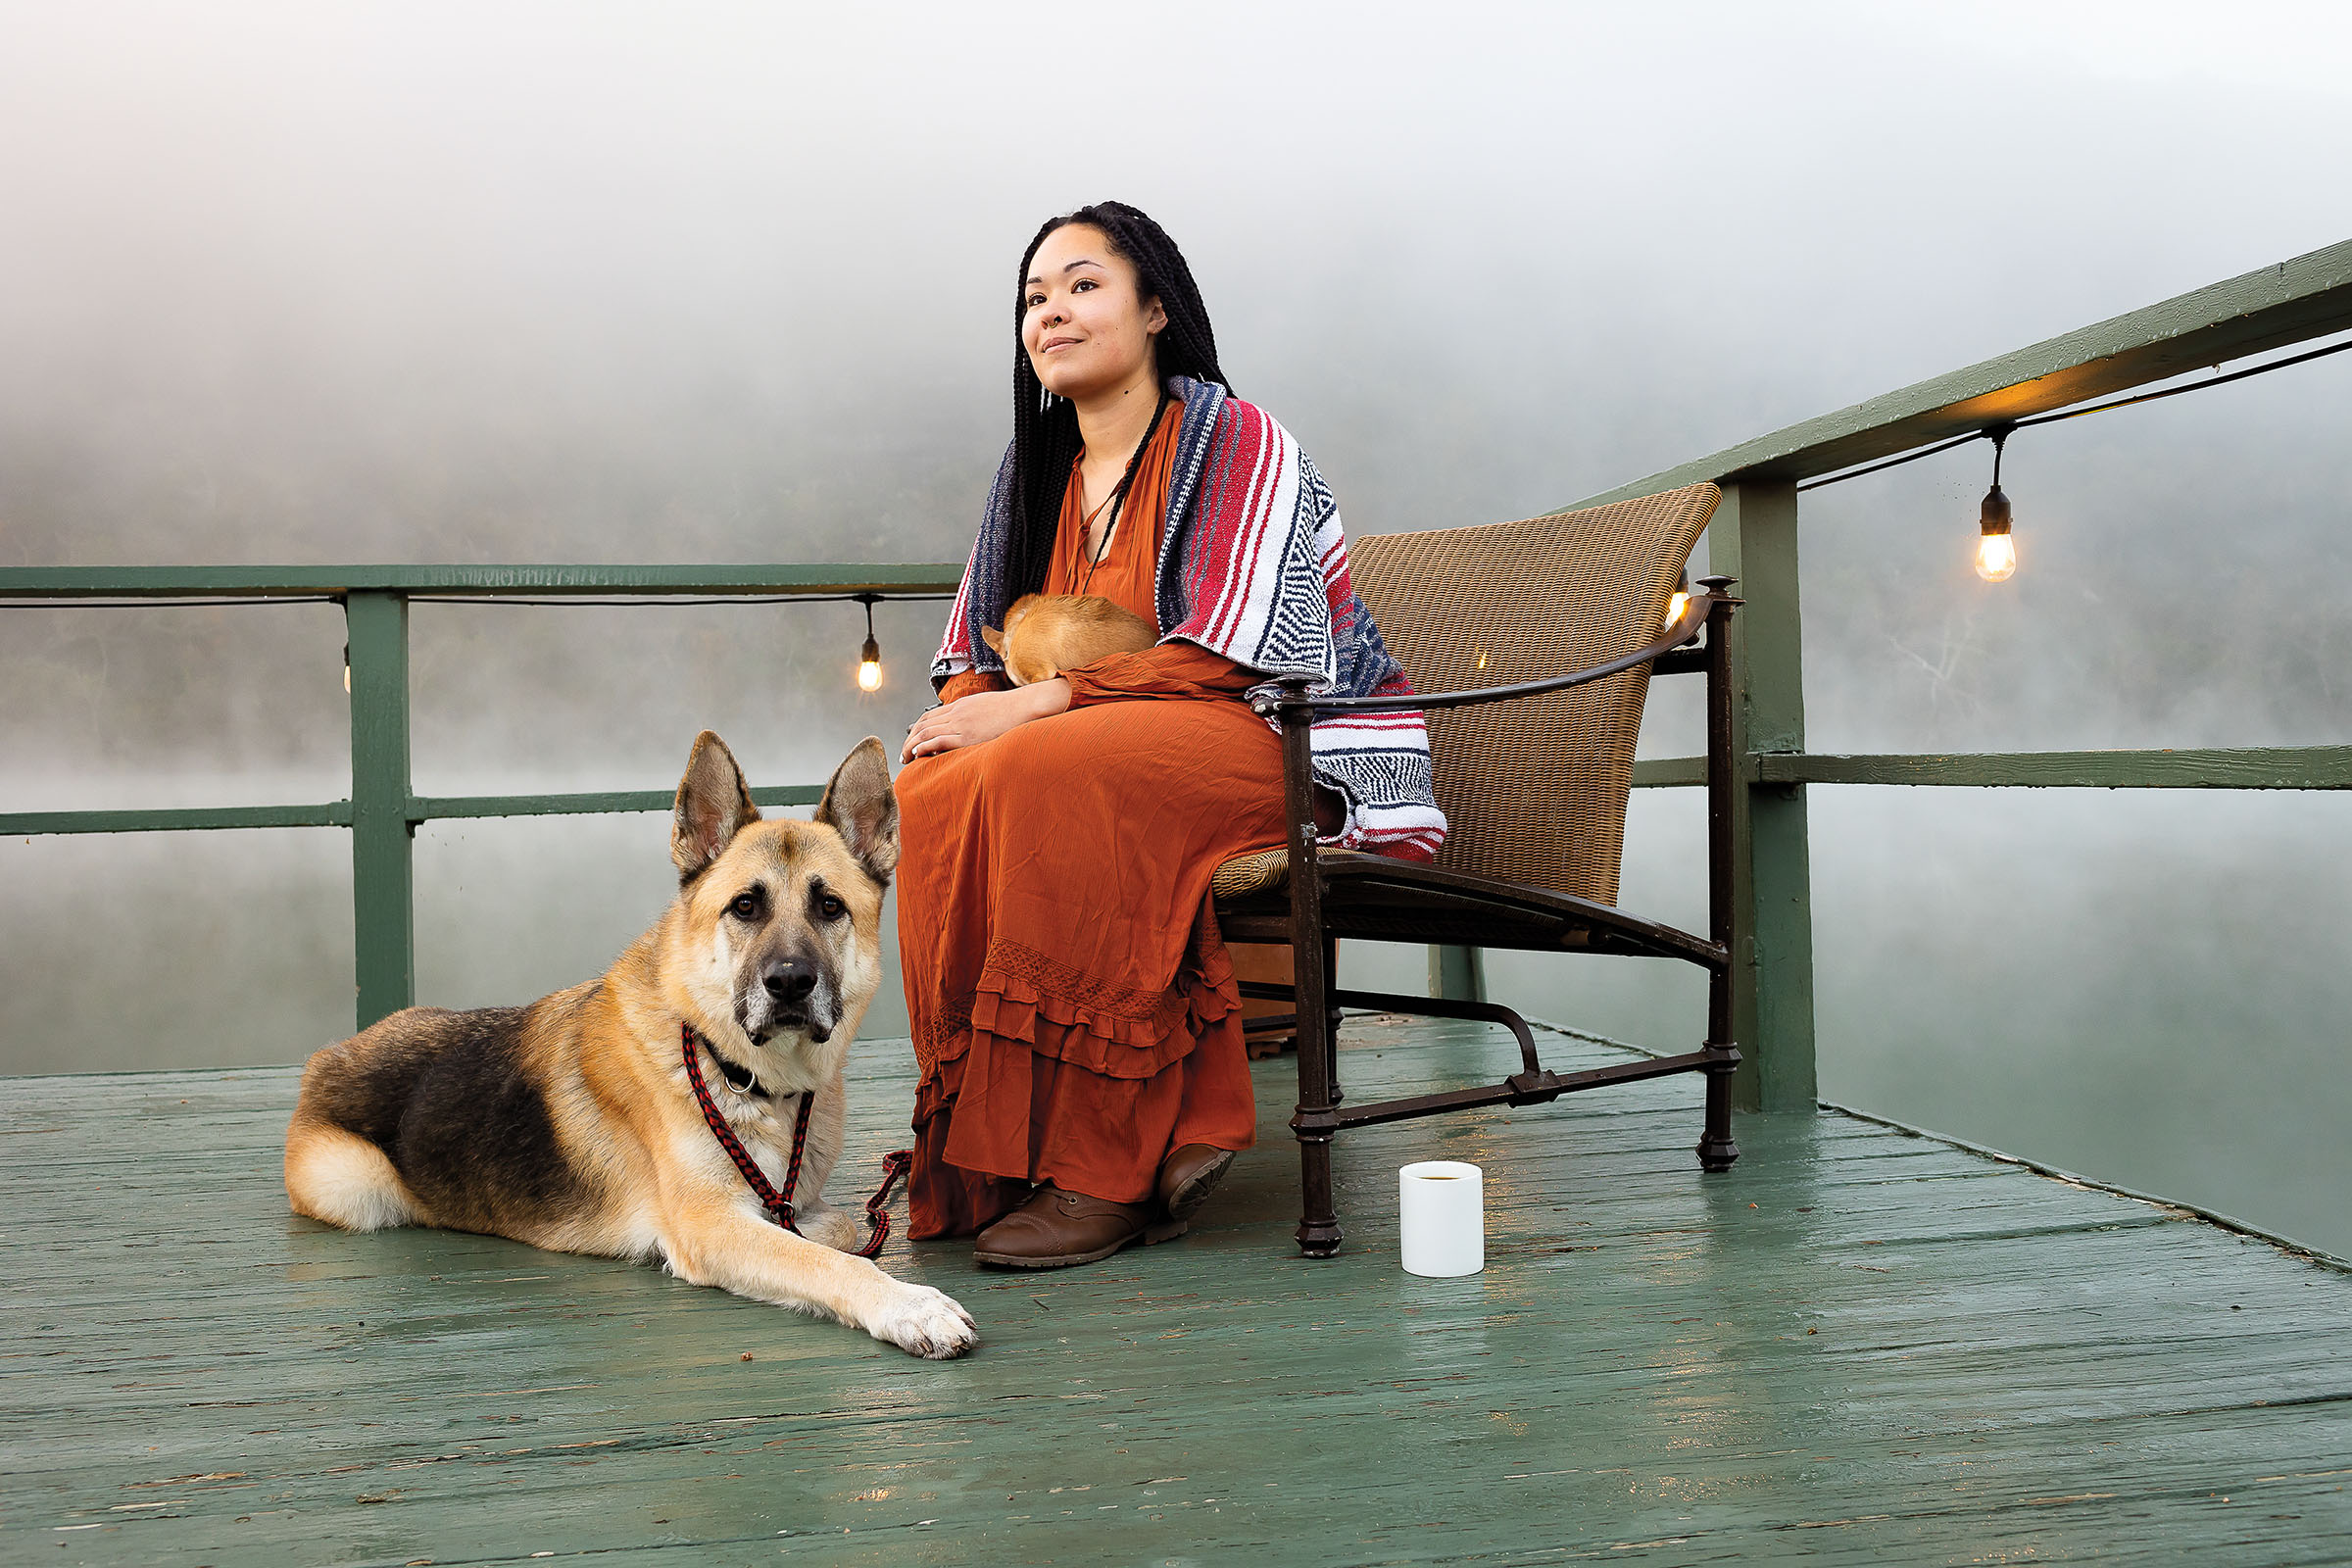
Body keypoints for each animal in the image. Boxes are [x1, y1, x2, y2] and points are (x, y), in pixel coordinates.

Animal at [282, 738, 973, 1363]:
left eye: (830, 906)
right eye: (746, 906)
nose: (789, 983)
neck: (744, 1075)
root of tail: (330, 1056)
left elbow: (831, 1224)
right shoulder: (709, 1225)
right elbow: (829, 1257)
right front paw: (911, 1305)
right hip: (355, 1189)